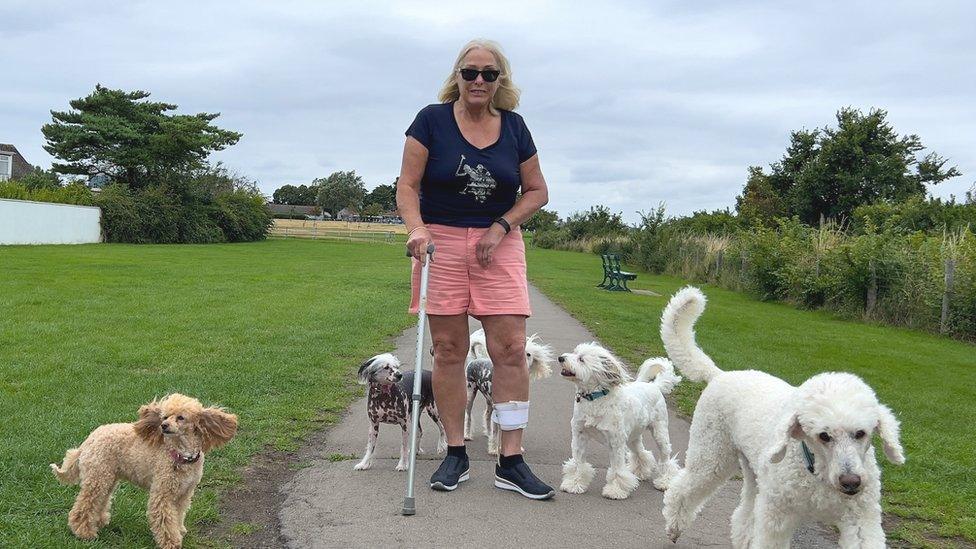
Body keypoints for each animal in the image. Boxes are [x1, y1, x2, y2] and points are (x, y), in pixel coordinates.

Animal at [552, 344, 684, 498]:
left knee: (665, 458)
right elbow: (578, 464)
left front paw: (615, 490)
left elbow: (617, 470)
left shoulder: (615, 442)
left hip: (659, 433)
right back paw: (640, 472)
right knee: (641, 453)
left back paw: (665, 481)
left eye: (581, 359)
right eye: (574, 352)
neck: (594, 399)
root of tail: (655, 386)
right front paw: (574, 483)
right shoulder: (579, 436)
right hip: (633, 437)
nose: (561, 358)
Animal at [660, 286, 904, 548]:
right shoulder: (777, 516)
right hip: (712, 455)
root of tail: (719, 374)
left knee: (745, 514)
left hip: (754, 473)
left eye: (860, 433)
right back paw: (674, 527)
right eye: (824, 436)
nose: (851, 482)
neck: (817, 472)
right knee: (684, 488)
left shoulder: (860, 519)